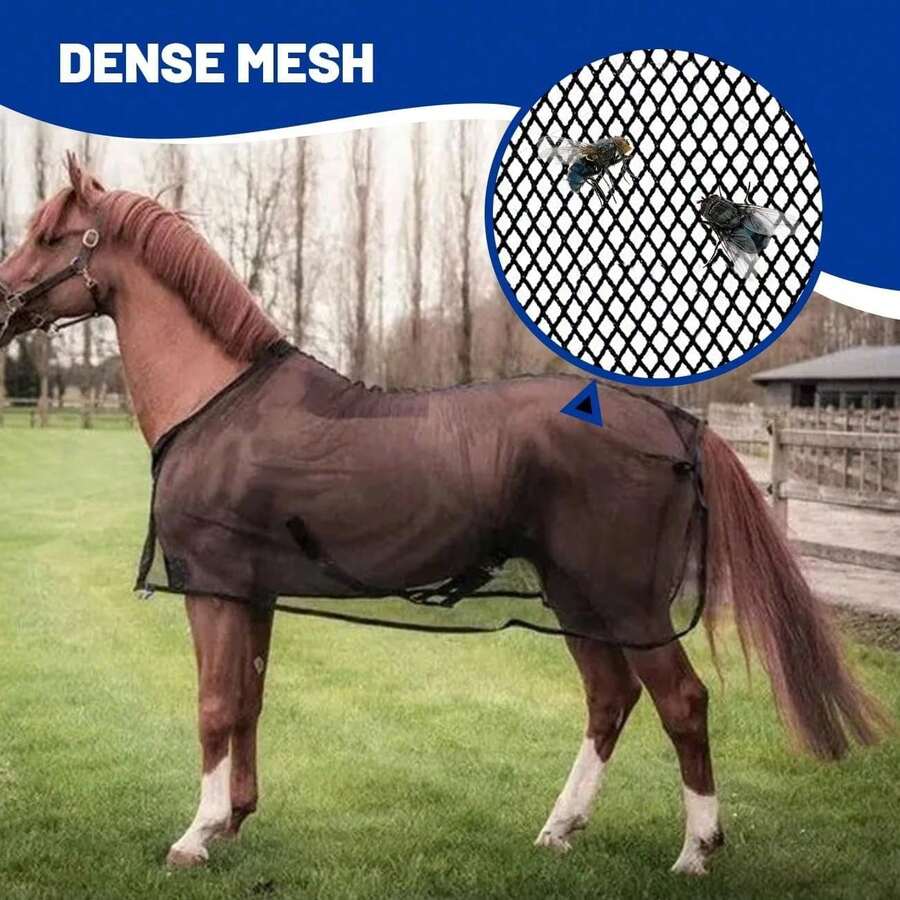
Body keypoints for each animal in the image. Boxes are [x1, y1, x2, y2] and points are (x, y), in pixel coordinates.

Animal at [0, 154, 885, 876]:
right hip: (575, 597)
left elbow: (215, 706)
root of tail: (673, 423)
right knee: (609, 699)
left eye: (49, 235)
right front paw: (234, 822)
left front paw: (196, 834)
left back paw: (696, 850)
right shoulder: (249, 595)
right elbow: (246, 701)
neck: (218, 401)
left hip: (626, 601)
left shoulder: (213, 590)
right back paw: (560, 830)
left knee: (683, 702)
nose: (3, 302)